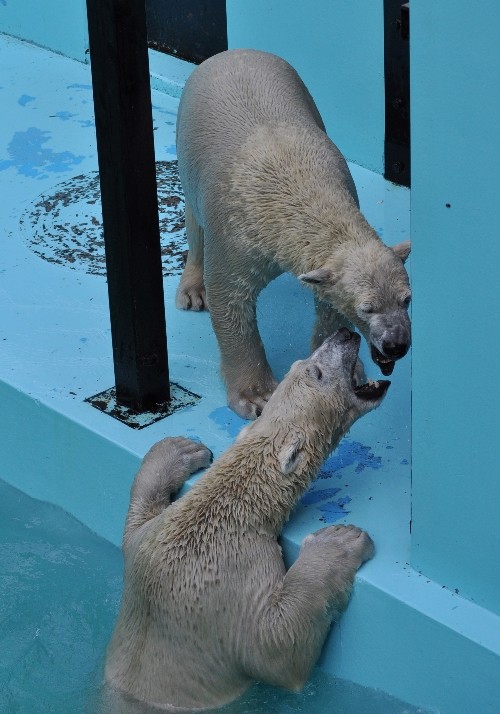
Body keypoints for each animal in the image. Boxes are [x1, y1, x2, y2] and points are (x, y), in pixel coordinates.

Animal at [105, 328, 390, 708]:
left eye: (300, 362)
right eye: (314, 371)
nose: (345, 333)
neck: (229, 509)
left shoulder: (147, 543)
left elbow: (137, 517)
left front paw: (181, 449)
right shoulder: (233, 585)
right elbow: (279, 647)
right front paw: (338, 541)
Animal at [175, 48, 410, 418]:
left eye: (407, 300)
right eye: (367, 308)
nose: (396, 345)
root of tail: (232, 52)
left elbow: (328, 304)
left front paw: (343, 365)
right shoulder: (234, 232)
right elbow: (229, 297)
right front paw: (256, 396)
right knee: (195, 223)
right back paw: (192, 290)